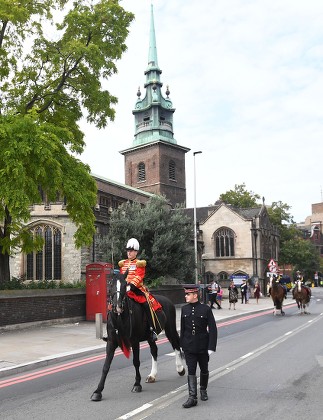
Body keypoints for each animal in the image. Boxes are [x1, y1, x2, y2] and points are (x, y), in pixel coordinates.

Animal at [92, 270, 186, 402]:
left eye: (125, 284)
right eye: (110, 284)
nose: (117, 306)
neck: (121, 318)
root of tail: (167, 300)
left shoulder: (134, 341)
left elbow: (136, 362)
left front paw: (137, 384)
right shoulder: (111, 343)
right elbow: (106, 366)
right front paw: (98, 391)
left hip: (170, 328)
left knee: (176, 345)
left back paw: (180, 369)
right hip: (150, 336)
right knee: (154, 350)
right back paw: (152, 375)